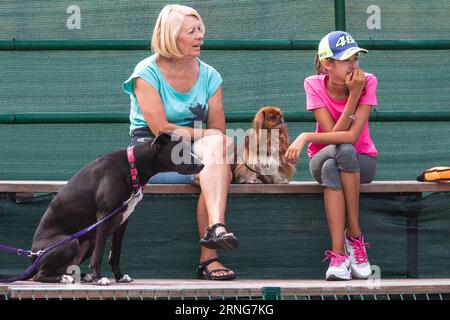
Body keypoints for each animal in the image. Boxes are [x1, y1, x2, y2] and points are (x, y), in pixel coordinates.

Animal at [28, 132, 202, 284]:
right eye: (180, 151)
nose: (202, 165)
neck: (132, 166)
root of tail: (32, 258)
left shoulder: (122, 221)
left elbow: (115, 253)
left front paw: (119, 277)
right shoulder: (104, 216)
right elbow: (99, 255)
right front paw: (98, 279)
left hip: (88, 240)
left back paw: (81, 277)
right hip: (70, 241)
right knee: (39, 276)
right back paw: (67, 279)